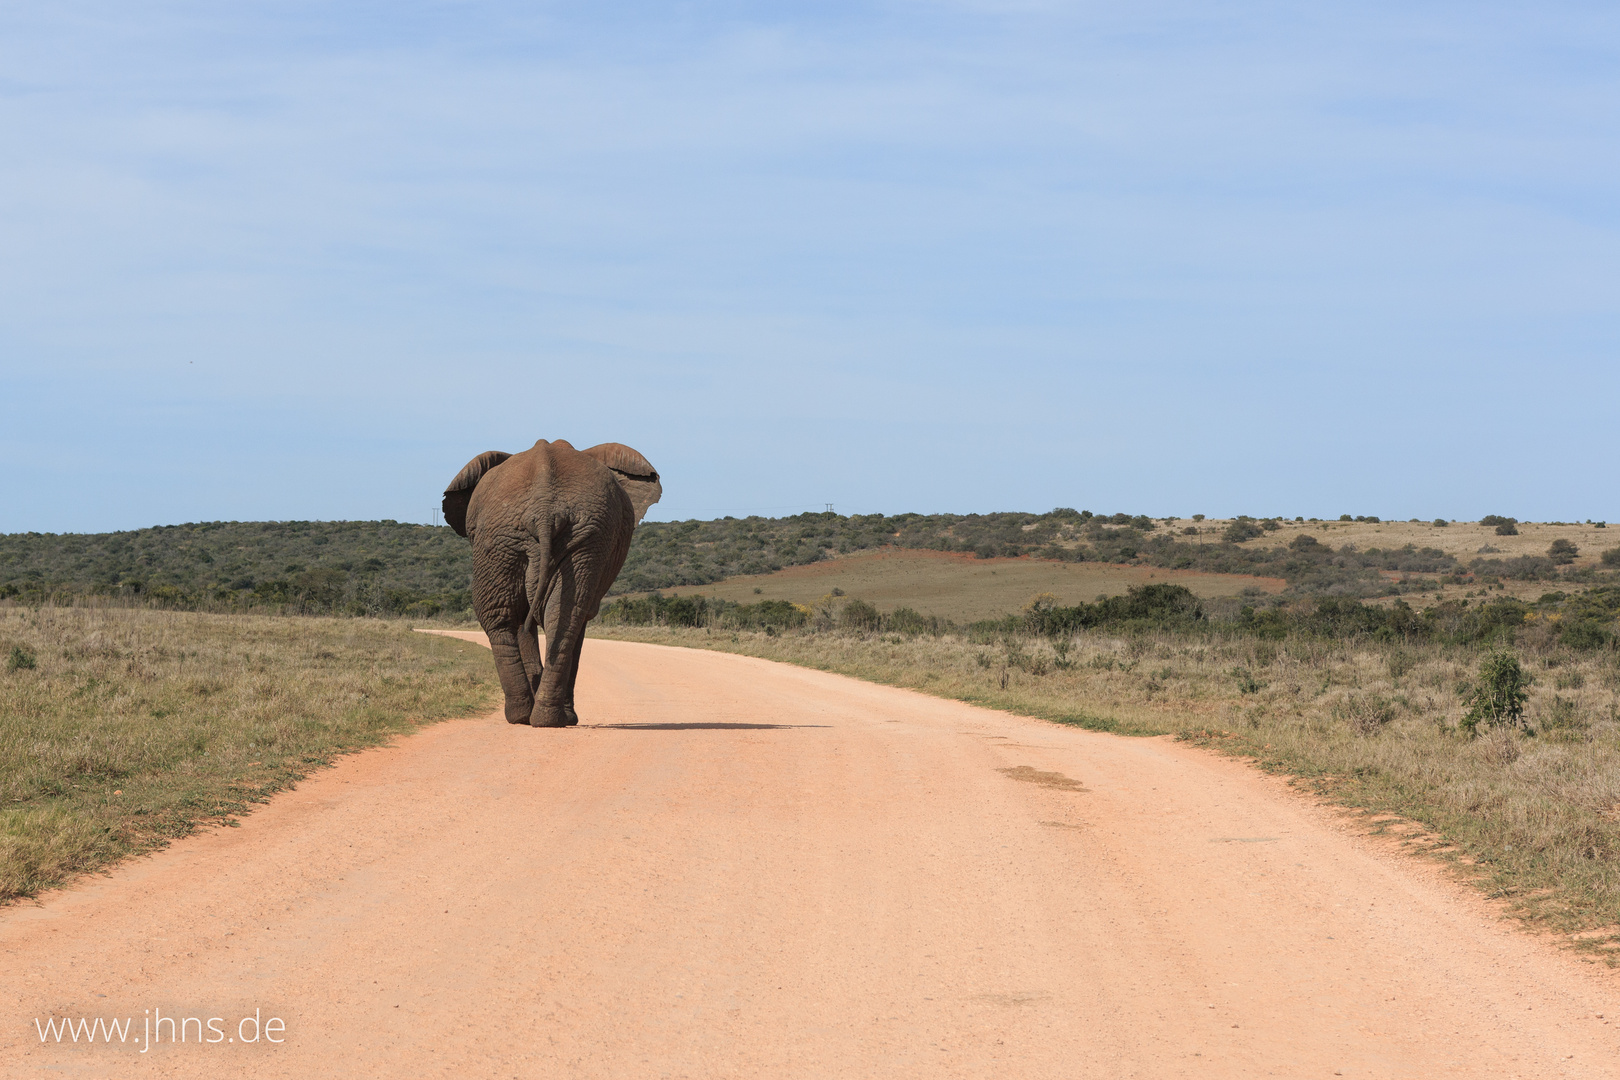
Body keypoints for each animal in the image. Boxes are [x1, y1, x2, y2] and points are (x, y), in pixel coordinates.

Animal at [443, 437, 657, 725]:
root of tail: (544, 509)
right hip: (514, 536)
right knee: (546, 616)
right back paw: (536, 717)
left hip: (540, 536)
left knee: (526, 616)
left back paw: (534, 717)